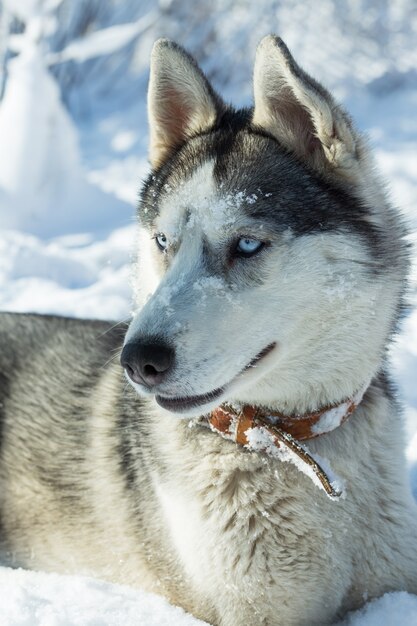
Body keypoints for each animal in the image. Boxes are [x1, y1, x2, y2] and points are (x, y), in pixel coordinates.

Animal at [0, 36, 416, 620]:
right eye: (162, 242)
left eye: (246, 244)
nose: (137, 360)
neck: (291, 442)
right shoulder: (254, 609)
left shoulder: (393, 583)